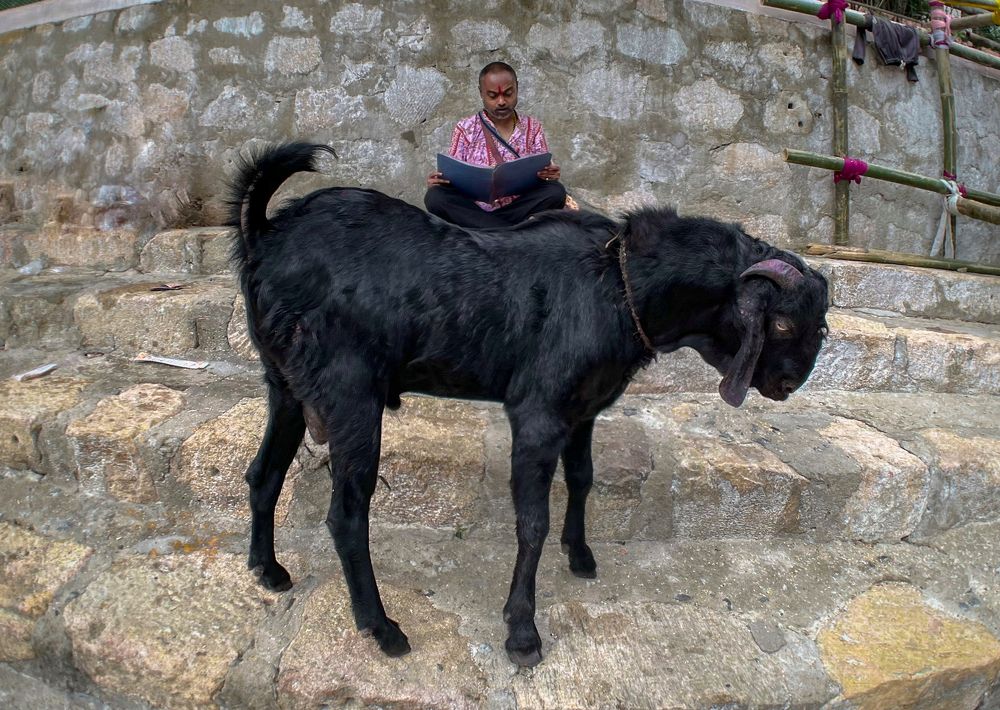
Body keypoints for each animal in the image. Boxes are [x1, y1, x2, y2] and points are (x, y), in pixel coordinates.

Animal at [226, 142, 829, 667]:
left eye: (818, 322)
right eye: (780, 322)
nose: (789, 383)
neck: (618, 284)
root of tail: (267, 235)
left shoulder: (583, 408)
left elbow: (582, 478)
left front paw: (580, 555)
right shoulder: (537, 414)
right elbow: (531, 520)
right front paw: (522, 632)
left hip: (284, 385)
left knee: (264, 474)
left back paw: (268, 570)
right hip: (352, 395)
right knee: (347, 514)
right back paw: (382, 627)